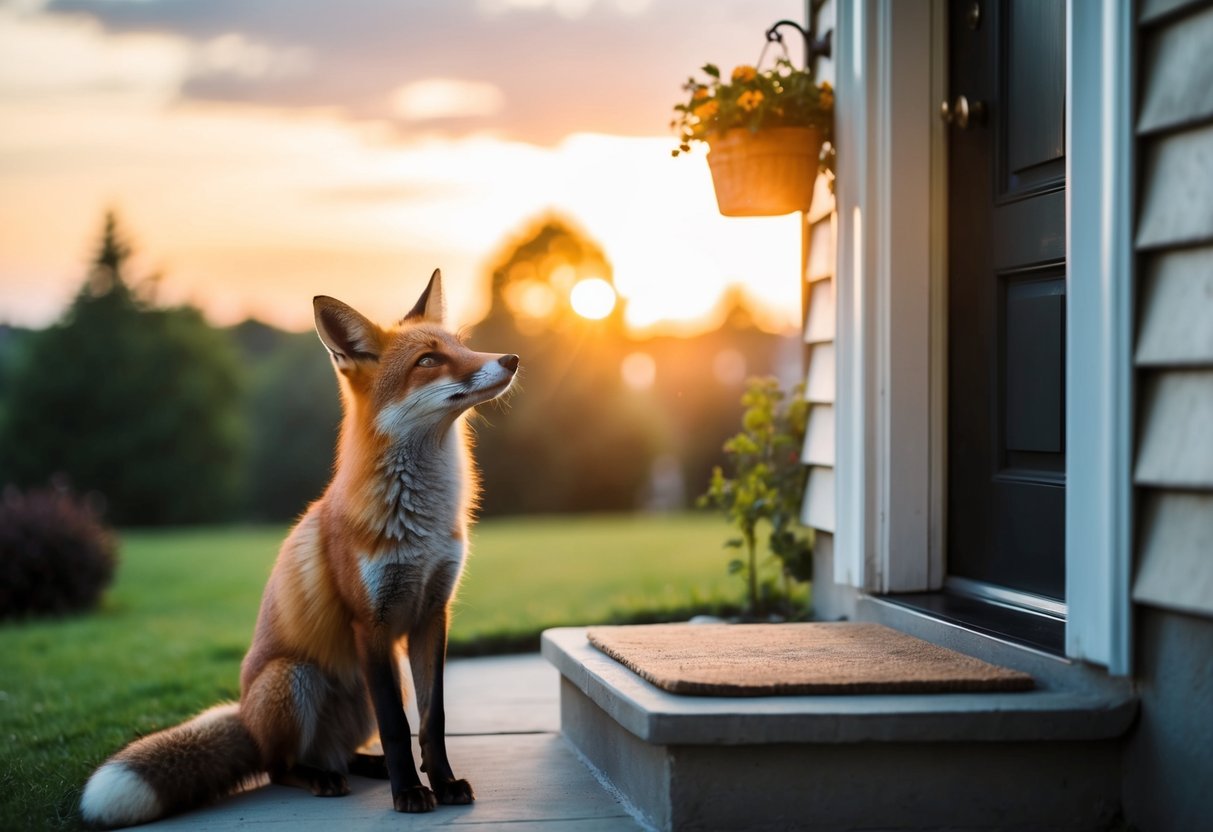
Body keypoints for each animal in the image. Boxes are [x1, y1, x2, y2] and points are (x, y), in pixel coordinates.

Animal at [80, 270, 519, 827]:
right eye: (428, 360)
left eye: (462, 345)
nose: (511, 360)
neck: (421, 525)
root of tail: (245, 716)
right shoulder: (370, 623)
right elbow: (397, 727)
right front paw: (409, 794)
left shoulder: (432, 614)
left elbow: (430, 719)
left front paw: (441, 783)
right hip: (295, 678)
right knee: (279, 767)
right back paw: (322, 778)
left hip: (373, 682)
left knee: (338, 751)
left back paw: (365, 765)